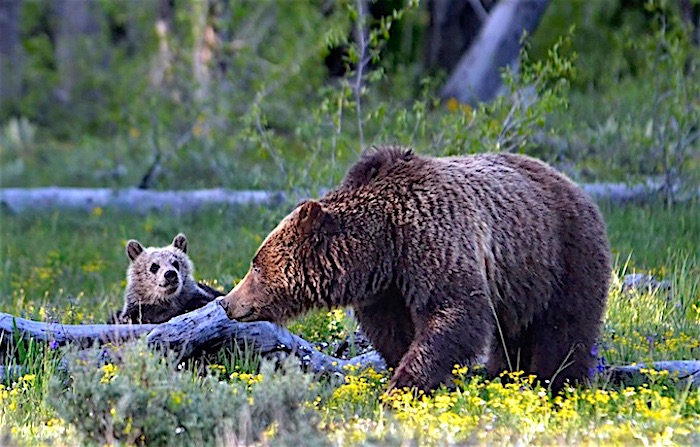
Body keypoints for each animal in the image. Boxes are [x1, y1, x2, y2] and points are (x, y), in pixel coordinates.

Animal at [221, 146, 608, 392]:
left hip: (563, 254)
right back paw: (507, 377)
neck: (385, 243)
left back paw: (555, 384)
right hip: (521, 281)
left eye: (256, 265)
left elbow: (453, 312)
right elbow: (392, 331)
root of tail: (576, 186)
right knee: (512, 335)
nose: (227, 302)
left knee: (564, 328)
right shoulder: (385, 287)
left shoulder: (435, 241)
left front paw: (404, 387)